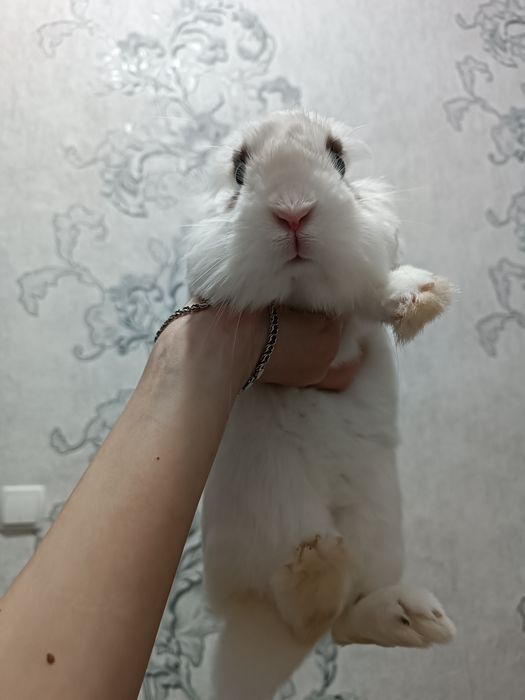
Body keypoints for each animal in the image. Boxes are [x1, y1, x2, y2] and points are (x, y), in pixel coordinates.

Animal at [185, 110, 456, 700]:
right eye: (239, 171)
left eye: (338, 161)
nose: (293, 211)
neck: (300, 294)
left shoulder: (354, 318)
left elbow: (374, 295)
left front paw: (422, 295)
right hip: (277, 519)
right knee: (308, 619)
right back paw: (316, 568)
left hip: (378, 535)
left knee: (342, 622)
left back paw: (407, 615)